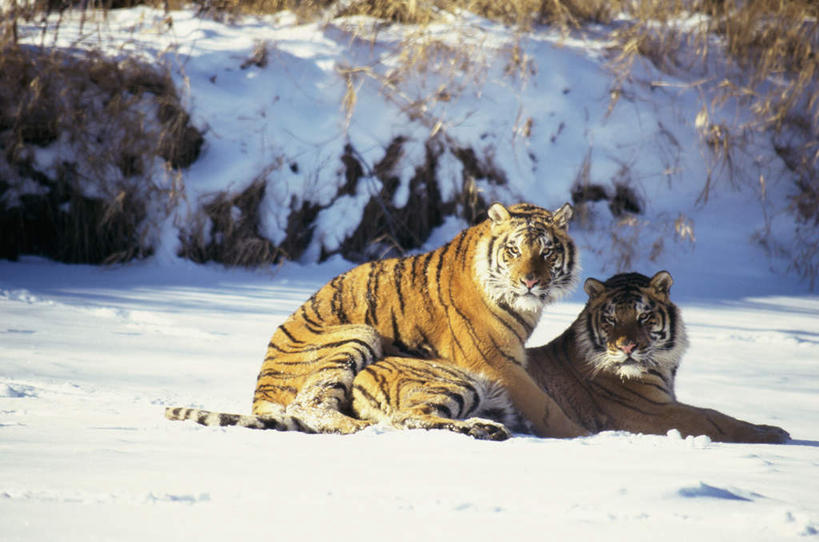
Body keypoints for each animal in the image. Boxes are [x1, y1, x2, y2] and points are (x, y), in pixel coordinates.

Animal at [167, 202, 588, 440]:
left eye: (547, 252)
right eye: (514, 250)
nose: (530, 281)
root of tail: (260, 392)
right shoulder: (496, 361)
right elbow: (547, 407)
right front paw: (585, 435)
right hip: (357, 334)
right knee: (307, 406)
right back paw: (357, 428)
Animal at [356, 270, 792, 444]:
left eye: (644, 317)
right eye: (612, 318)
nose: (626, 347)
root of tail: (367, 370)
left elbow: (723, 415)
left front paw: (773, 428)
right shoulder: (652, 411)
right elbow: (716, 421)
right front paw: (775, 435)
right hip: (458, 380)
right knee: (410, 418)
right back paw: (487, 429)